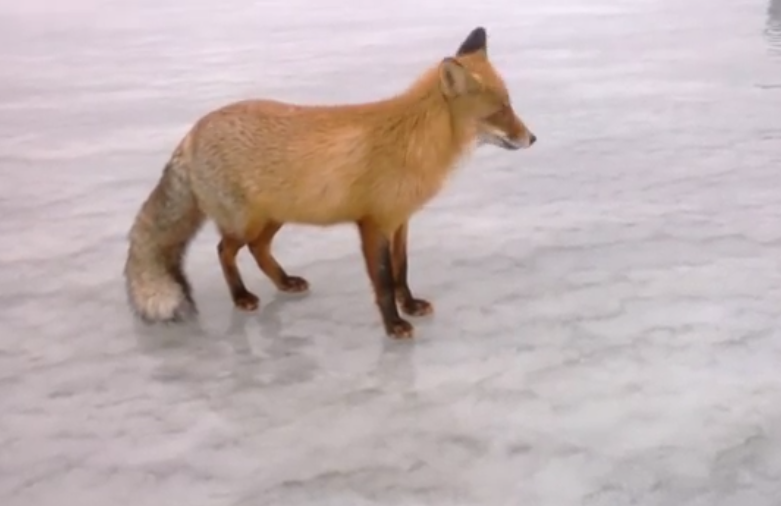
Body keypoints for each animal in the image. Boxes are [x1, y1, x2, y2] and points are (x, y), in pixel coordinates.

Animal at [123, 24, 536, 340]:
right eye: (501, 109)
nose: (532, 139)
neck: (414, 141)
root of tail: (194, 130)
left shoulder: (400, 221)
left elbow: (401, 271)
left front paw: (410, 304)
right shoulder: (372, 225)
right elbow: (383, 282)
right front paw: (394, 324)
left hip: (274, 217)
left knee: (258, 250)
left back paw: (285, 282)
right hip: (246, 222)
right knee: (225, 250)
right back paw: (242, 296)